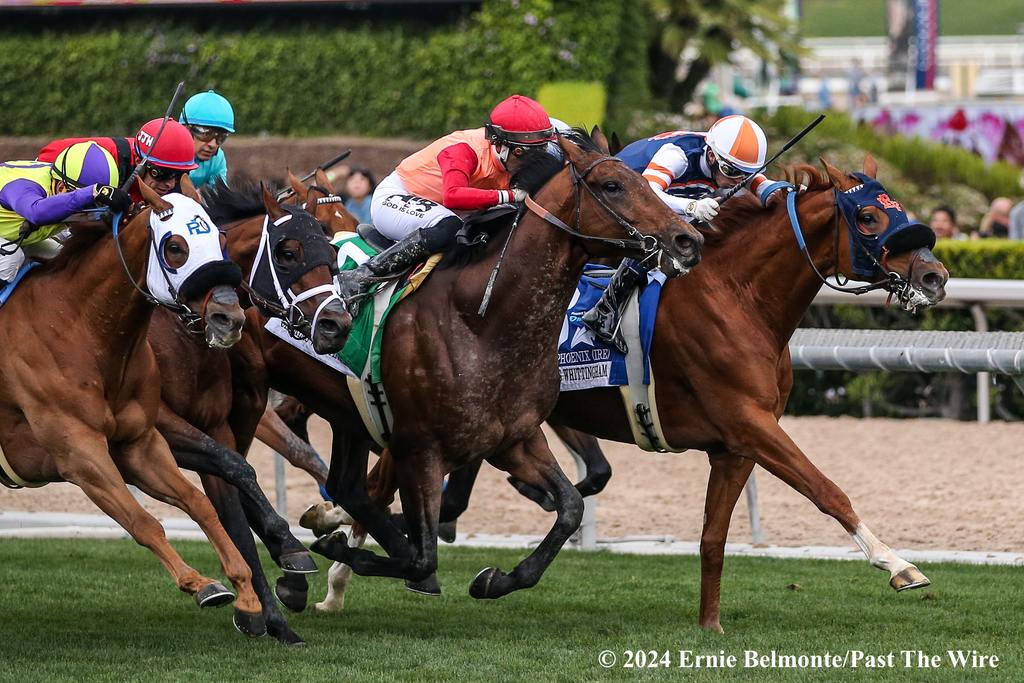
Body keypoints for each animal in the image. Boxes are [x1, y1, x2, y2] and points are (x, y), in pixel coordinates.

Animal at [0, 180, 268, 634]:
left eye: (221, 238)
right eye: (176, 247)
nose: (228, 318)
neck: (77, 329)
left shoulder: (139, 443)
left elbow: (200, 504)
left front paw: (246, 594)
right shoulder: (79, 454)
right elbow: (143, 522)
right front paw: (201, 584)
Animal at [147, 181, 348, 647]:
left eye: (330, 252)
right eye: (288, 252)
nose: (337, 324)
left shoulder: (222, 426)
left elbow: (238, 504)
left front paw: (273, 611)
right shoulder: (160, 423)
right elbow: (240, 487)